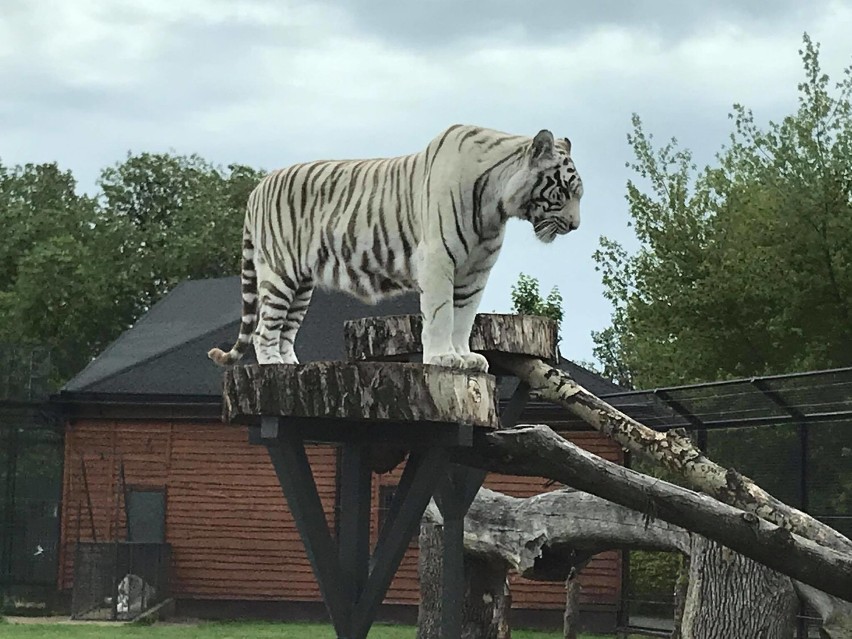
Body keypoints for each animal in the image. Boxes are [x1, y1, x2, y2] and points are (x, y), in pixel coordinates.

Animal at [208, 125, 580, 372]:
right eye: (564, 190)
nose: (576, 226)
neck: (495, 205)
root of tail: (258, 187)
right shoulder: (438, 260)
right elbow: (441, 313)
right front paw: (442, 358)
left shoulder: (476, 271)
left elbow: (464, 317)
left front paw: (465, 356)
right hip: (279, 272)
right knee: (263, 329)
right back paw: (271, 366)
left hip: (301, 285)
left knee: (285, 330)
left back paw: (289, 366)